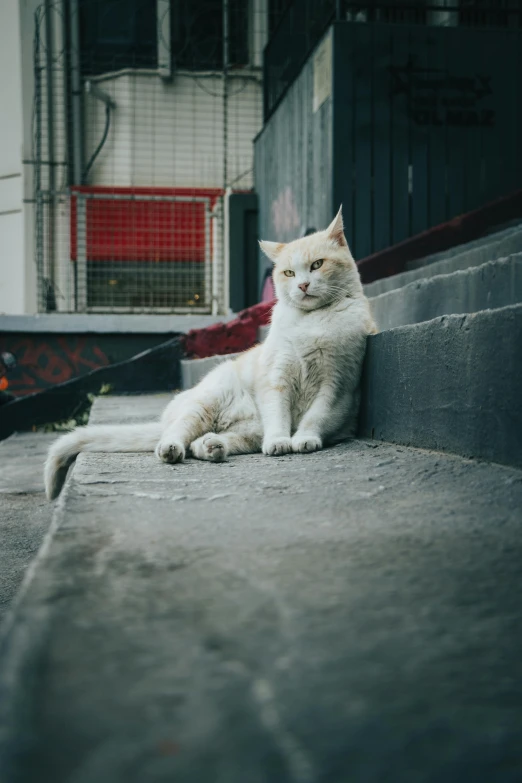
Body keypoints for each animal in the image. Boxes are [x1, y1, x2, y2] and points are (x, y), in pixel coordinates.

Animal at [43, 207, 374, 502]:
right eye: (289, 273)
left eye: (317, 265)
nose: (303, 285)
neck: (311, 321)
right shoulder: (277, 379)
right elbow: (279, 416)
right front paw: (281, 442)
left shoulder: (336, 383)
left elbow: (316, 416)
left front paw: (304, 439)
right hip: (205, 404)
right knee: (177, 434)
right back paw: (172, 449)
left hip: (247, 432)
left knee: (199, 443)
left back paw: (213, 447)